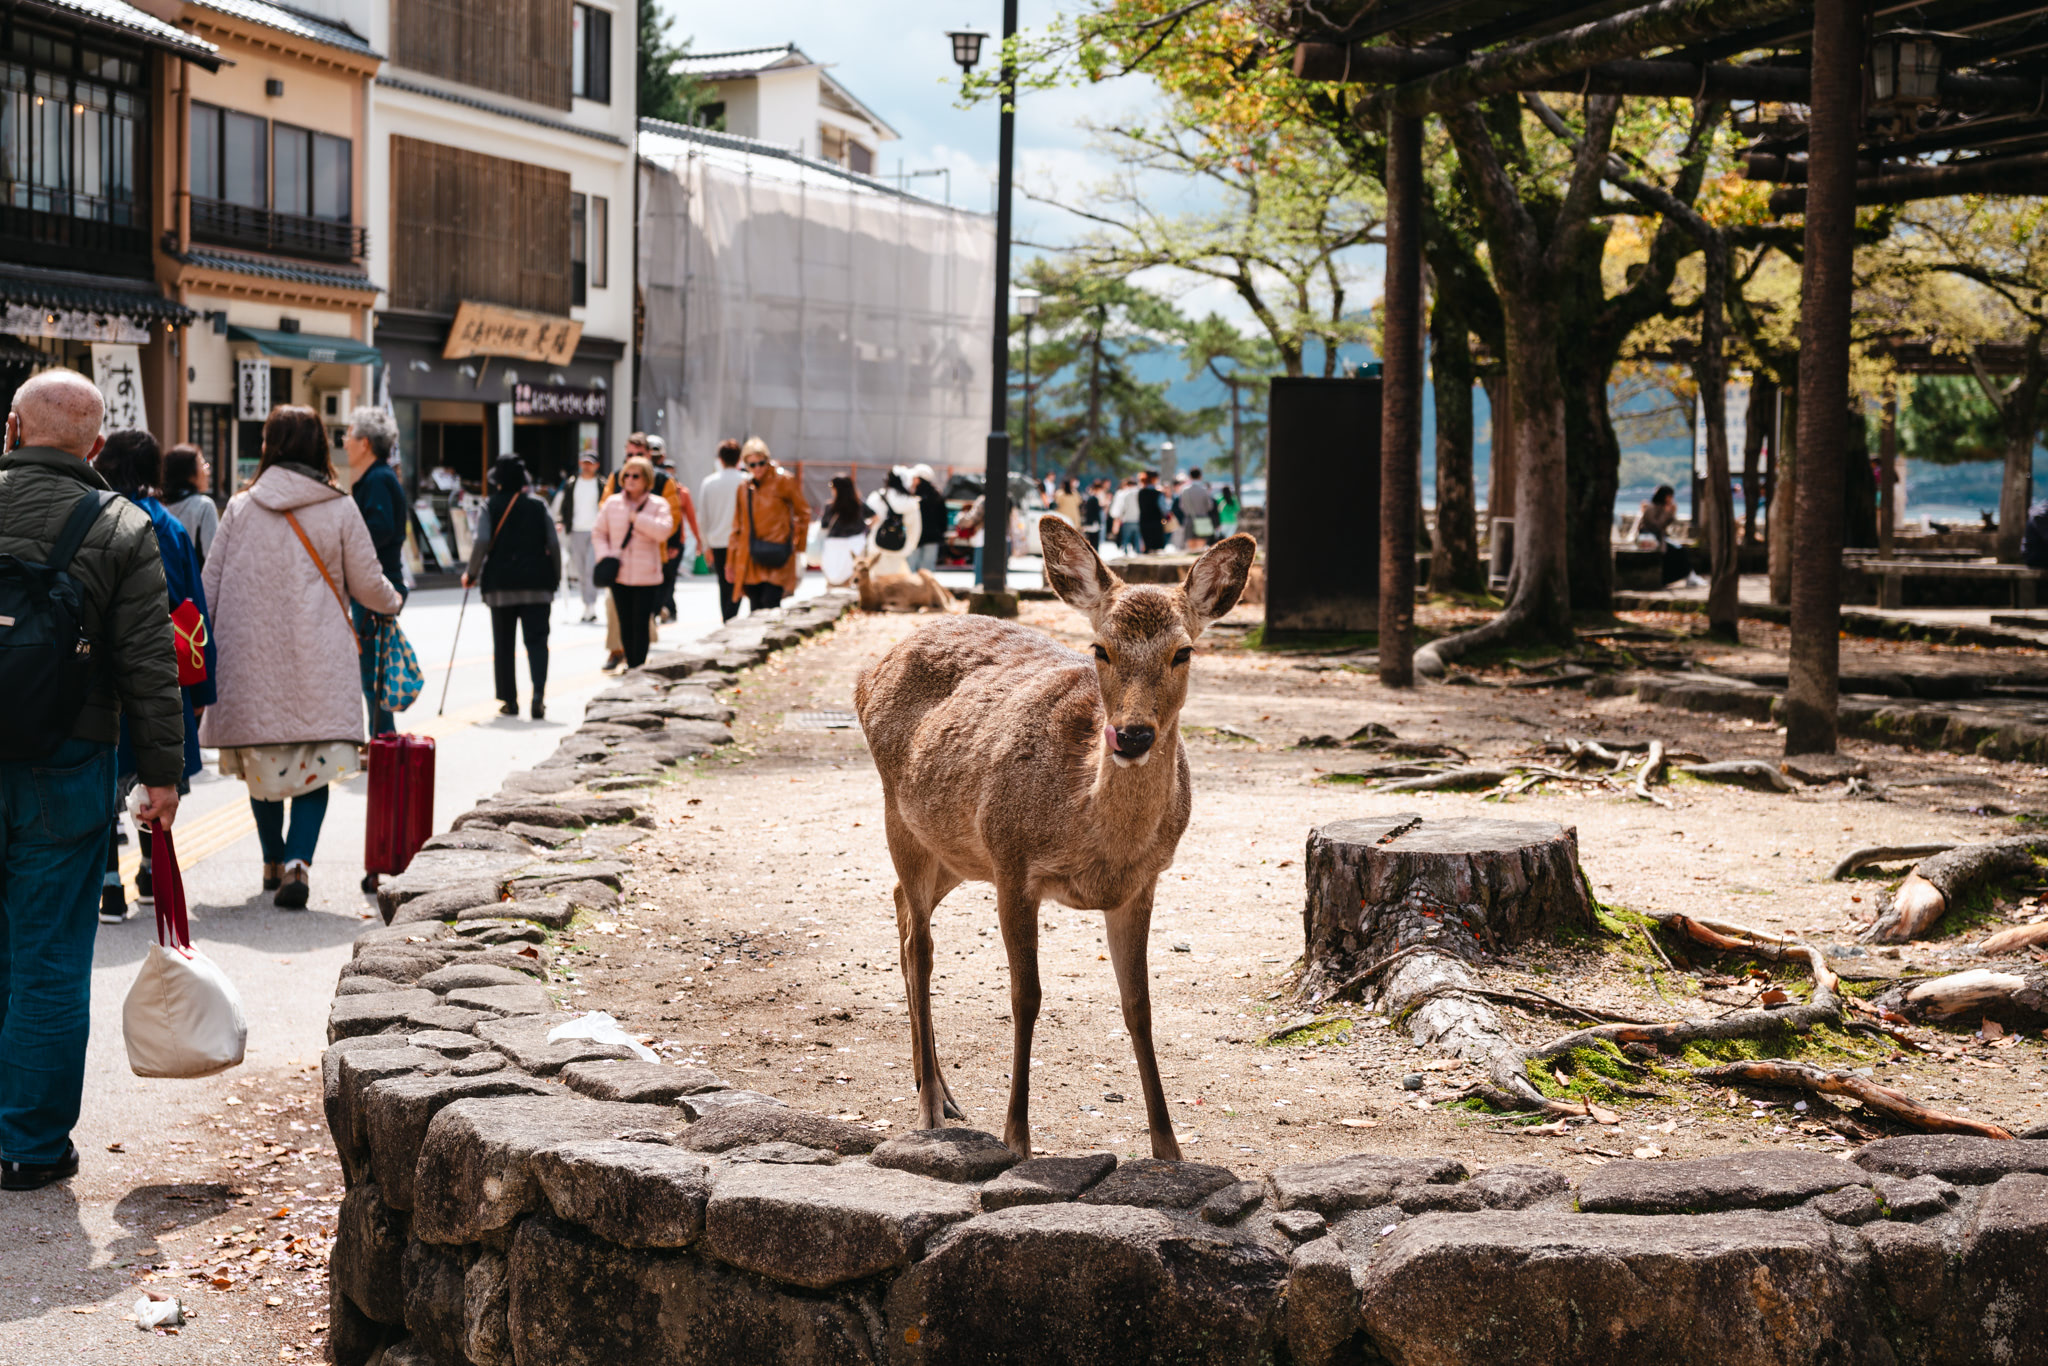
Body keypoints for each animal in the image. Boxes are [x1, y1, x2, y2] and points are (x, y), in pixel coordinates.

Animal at [854, 515, 1257, 1159]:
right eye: (1100, 649)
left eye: (1183, 651)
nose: (1133, 735)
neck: (1096, 842)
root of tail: (868, 674)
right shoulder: (1013, 862)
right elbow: (1027, 996)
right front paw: (1016, 1138)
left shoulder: (1142, 884)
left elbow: (1139, 1005)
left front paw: (1168, 1148)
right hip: (902, 816)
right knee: (921, 945)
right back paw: (932, 1108)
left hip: (956, 851)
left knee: (901, 911)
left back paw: (938, 1087)